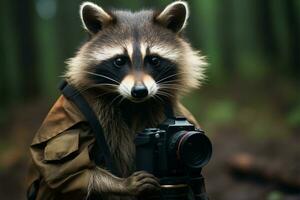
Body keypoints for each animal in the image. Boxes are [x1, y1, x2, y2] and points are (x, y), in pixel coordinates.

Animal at [28, 0, 206, 200]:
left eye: (154, 60)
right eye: (120, 60)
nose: (139, 91)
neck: (132, 104)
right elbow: (66, 171)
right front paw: (124, 184)